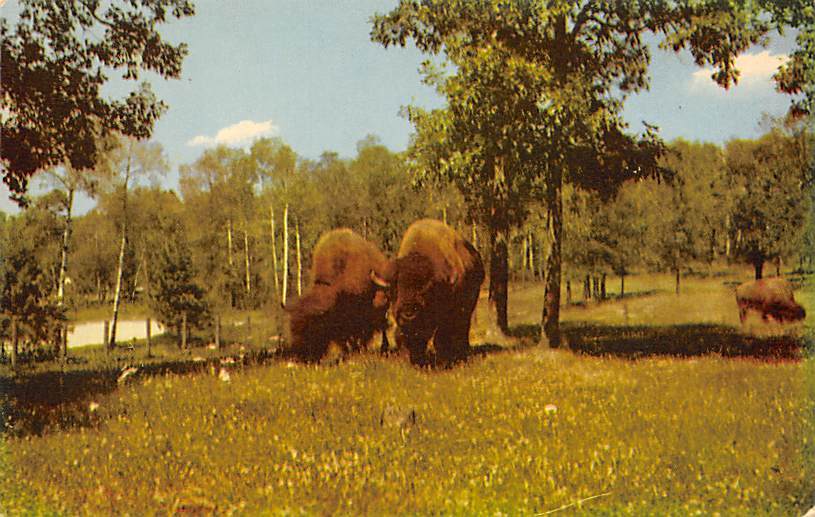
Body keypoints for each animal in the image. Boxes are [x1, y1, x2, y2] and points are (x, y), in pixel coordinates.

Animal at [388, 219, 484, 366]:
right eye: (396, 290)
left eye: (425, 291)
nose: (408, 313)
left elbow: (440, 338)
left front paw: (443, 361)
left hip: (468, 308)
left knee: (463, 329)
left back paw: (461, 356)